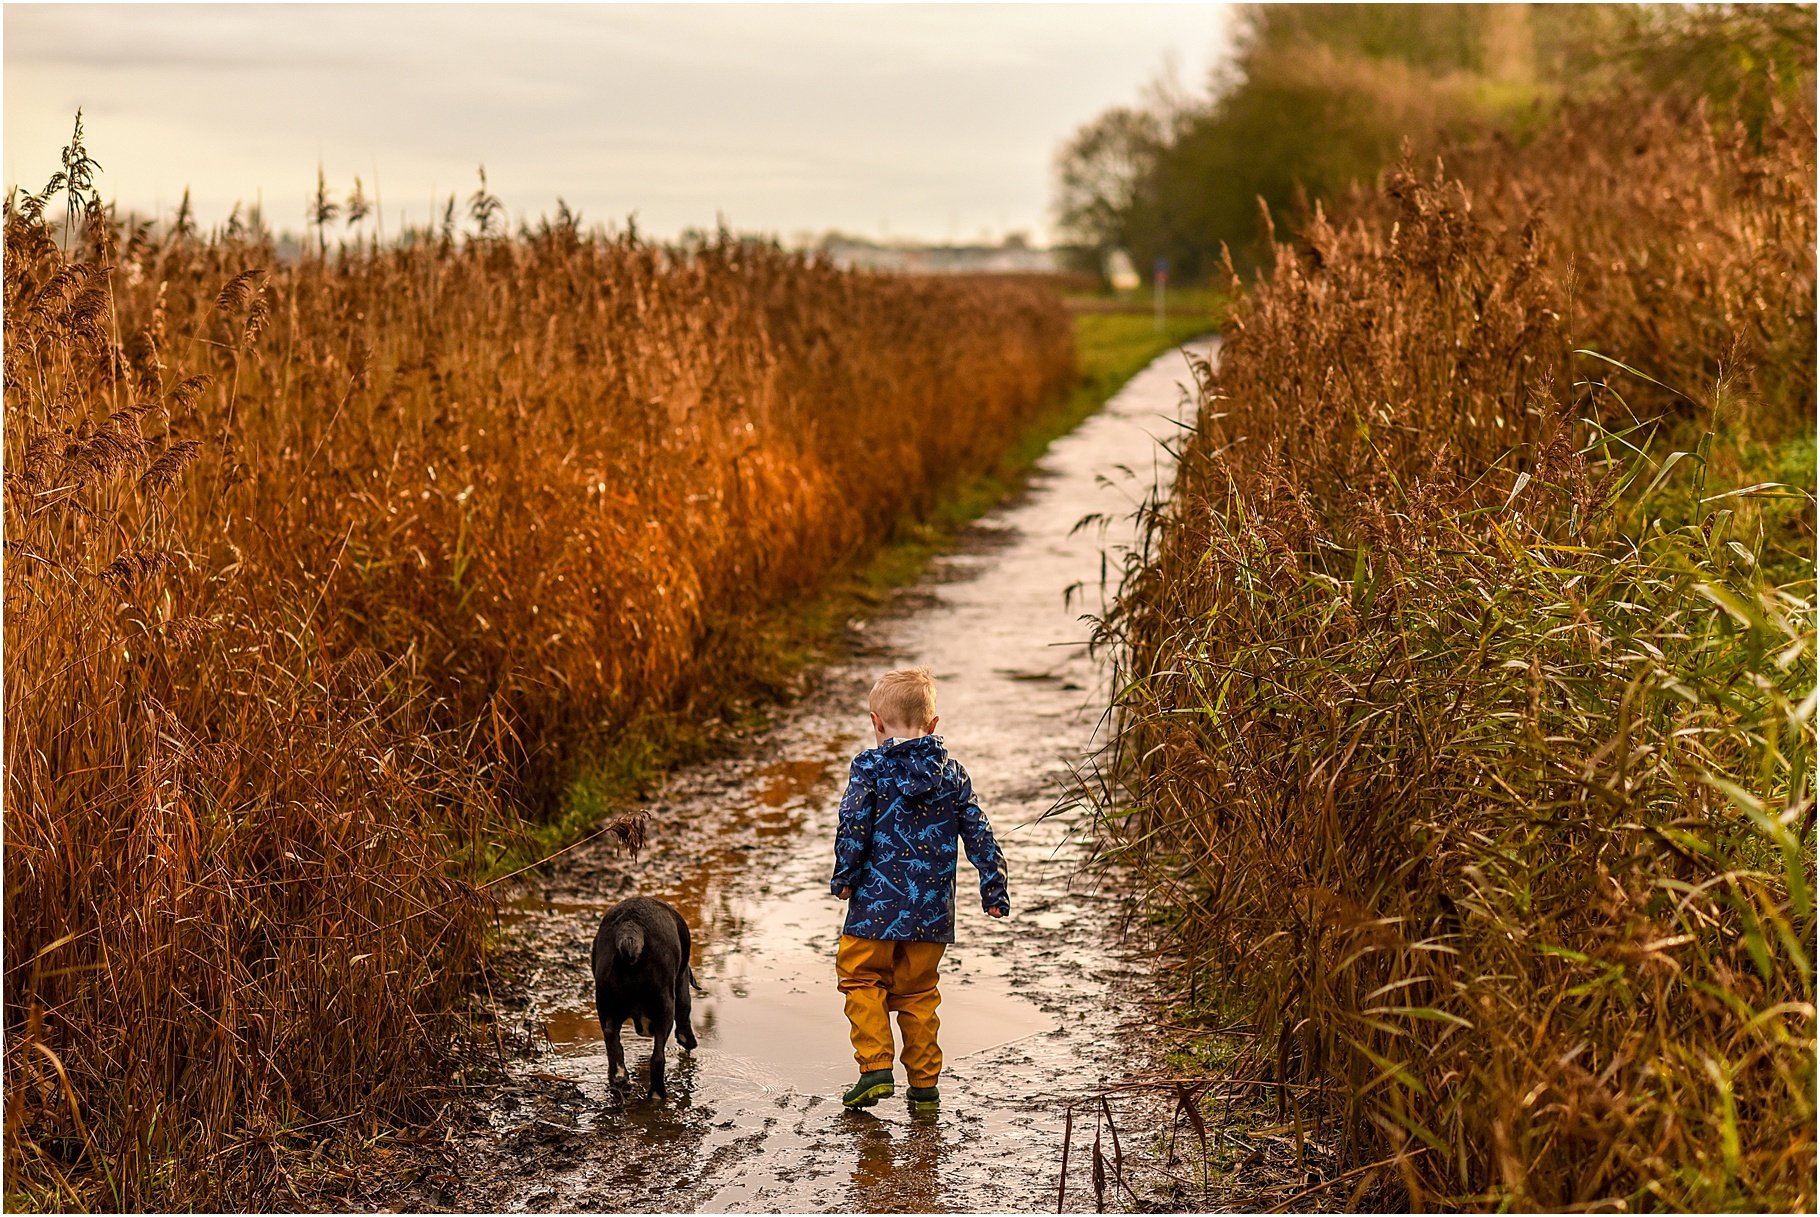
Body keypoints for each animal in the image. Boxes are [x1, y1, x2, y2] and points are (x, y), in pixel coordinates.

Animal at [593, 891, 698, 1098]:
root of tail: (630, 926)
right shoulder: (680, 986)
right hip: (665, 1007)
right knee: (657, 1059)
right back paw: (658, 1094)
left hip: (604, 1002)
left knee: (610, 1035)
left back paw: (619, 1078)